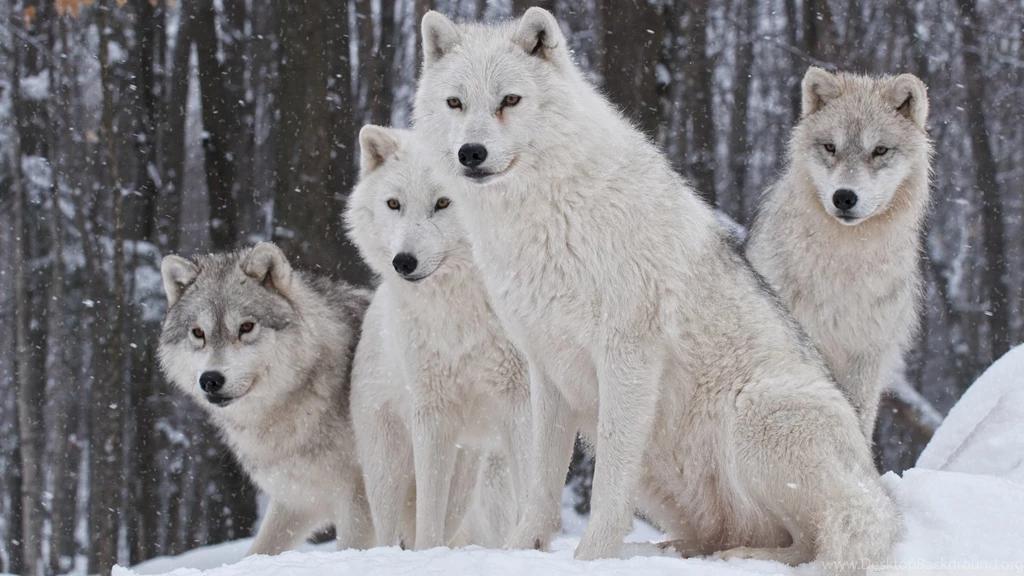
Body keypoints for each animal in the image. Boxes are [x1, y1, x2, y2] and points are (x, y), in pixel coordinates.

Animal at [158, 242, 375, 555]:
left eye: (246, 327)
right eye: (198, 333)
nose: (211, 380)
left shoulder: (360, 498)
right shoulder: (297, 499)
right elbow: (259, 551)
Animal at [345, 125, 531, 550]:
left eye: (444, 202)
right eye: (394, 204)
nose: (403, 262)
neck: (462, 311)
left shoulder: (522, 401)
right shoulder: (431, 414)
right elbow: (429, 515)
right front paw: (427, 556)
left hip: (470, 472)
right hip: (389, 467)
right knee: (388, 531)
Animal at [413, 8, 899, 573]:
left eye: (509, 100)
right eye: (455, 103)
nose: (471, 153)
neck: (547, 215)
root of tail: (875, 489)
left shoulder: (628, 356)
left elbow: (608, 482)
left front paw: (592, 557)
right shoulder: (546, 367)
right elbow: (540, 479)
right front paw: (519, 550)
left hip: (756, 413)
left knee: (811, 541)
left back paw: (738, 556)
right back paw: (675, 550)